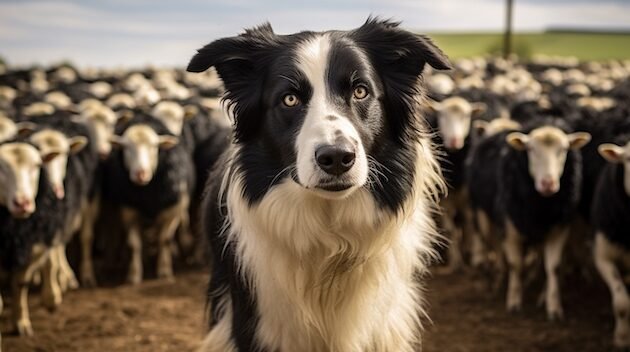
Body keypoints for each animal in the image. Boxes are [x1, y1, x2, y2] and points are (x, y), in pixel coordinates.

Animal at [105, 114, 194, 284]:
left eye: (154, 146)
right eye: (126, 147)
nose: (141, 173)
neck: (147, 192)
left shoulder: (172, 208)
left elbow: (165, 239)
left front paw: (164, 271)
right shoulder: (128, 210)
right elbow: (134, 245)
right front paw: (134, 274)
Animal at [498, 119, 592, 320]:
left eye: (564, 149)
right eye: (531, 149)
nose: (548, 184)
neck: (542, 208)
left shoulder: (559, 228)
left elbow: (554, 267)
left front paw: (554, 307)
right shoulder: (510, 228)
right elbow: (516, 265)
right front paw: (514, 302)